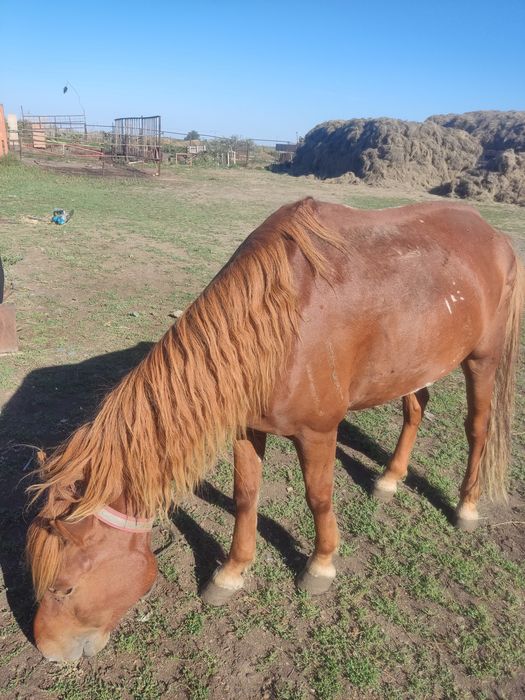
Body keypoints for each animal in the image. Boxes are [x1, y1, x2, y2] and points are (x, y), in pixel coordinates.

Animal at [26, 197, 523, 661]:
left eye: (64, 587)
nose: (48, 650)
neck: (282, 322)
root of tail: (494, 236)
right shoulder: (247, 428)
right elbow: (246, 497)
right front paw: (230, 573)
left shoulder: (318, 432)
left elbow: (318, 497)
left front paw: (320, 566)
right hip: (415, 363)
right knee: (416, 409)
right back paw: (389, 479)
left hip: (483, 359)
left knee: (477, 429)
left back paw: (466, 507)